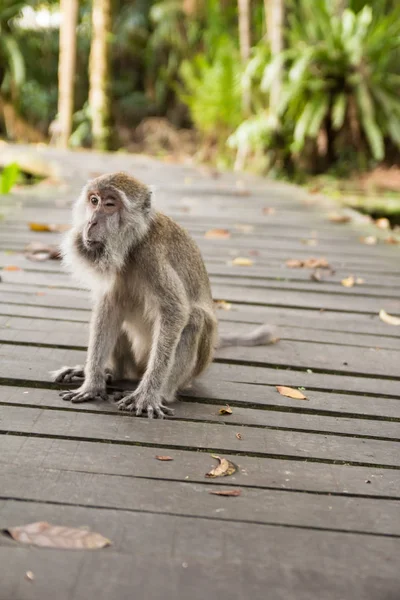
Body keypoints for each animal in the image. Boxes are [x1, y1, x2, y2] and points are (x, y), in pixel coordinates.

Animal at [52, 173, 278, 418]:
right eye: (94, 201)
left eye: (110, 204)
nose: (91, 222)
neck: (132, 244)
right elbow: (109, 309)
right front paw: (92, 383)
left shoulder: (151, 256)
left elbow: (176, 311)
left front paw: (148, 394)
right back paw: (112, 372)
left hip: (189, 369)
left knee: (195, 318)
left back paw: (162, 392)